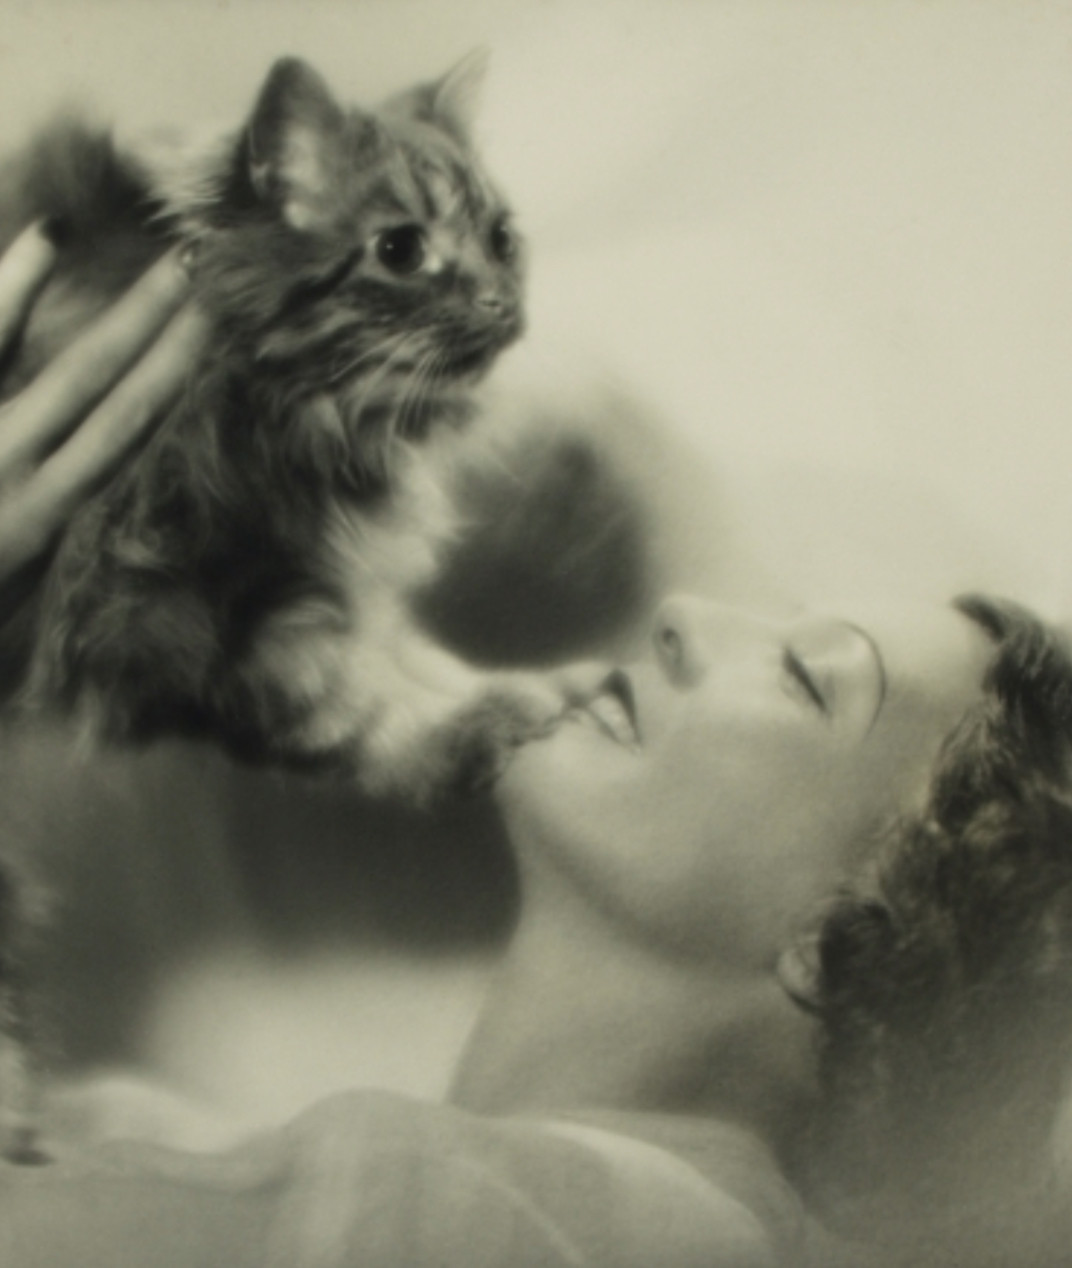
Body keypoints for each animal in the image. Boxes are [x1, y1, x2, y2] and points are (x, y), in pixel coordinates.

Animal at [0, 54, 573, 801]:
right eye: (401, 250)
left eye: (502, 241)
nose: (501, 302)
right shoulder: (174, 608)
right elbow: (352, 705)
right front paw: (472, 727)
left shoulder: (333, 565)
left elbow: (407, 648)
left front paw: (522, 685)